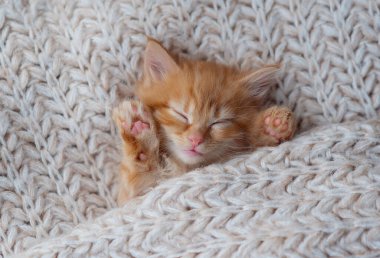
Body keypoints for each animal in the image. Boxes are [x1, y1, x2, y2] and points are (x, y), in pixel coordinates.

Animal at [111, 39, 296, 206]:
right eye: (181, 114)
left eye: (219, 122)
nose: (196, 139)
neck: (186, 167)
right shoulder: (131, 197)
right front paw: (137, 130)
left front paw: (269, 128)